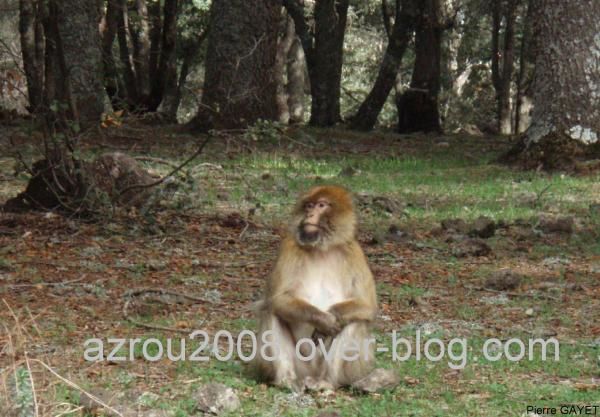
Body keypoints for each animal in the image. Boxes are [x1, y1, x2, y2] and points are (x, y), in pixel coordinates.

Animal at [254, 185, 378, 390]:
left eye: (321, 205)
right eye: (309, 206)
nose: (310, 214)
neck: (322, 248)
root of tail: (310, 375)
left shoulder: (354, 252)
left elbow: (367, 305)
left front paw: (332, 316)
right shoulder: (289, 246)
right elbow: (279, 298)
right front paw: (324, 320)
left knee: (355, 320)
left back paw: (327, 382)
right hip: (300, 367)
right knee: (272, 310)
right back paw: (287, 380)